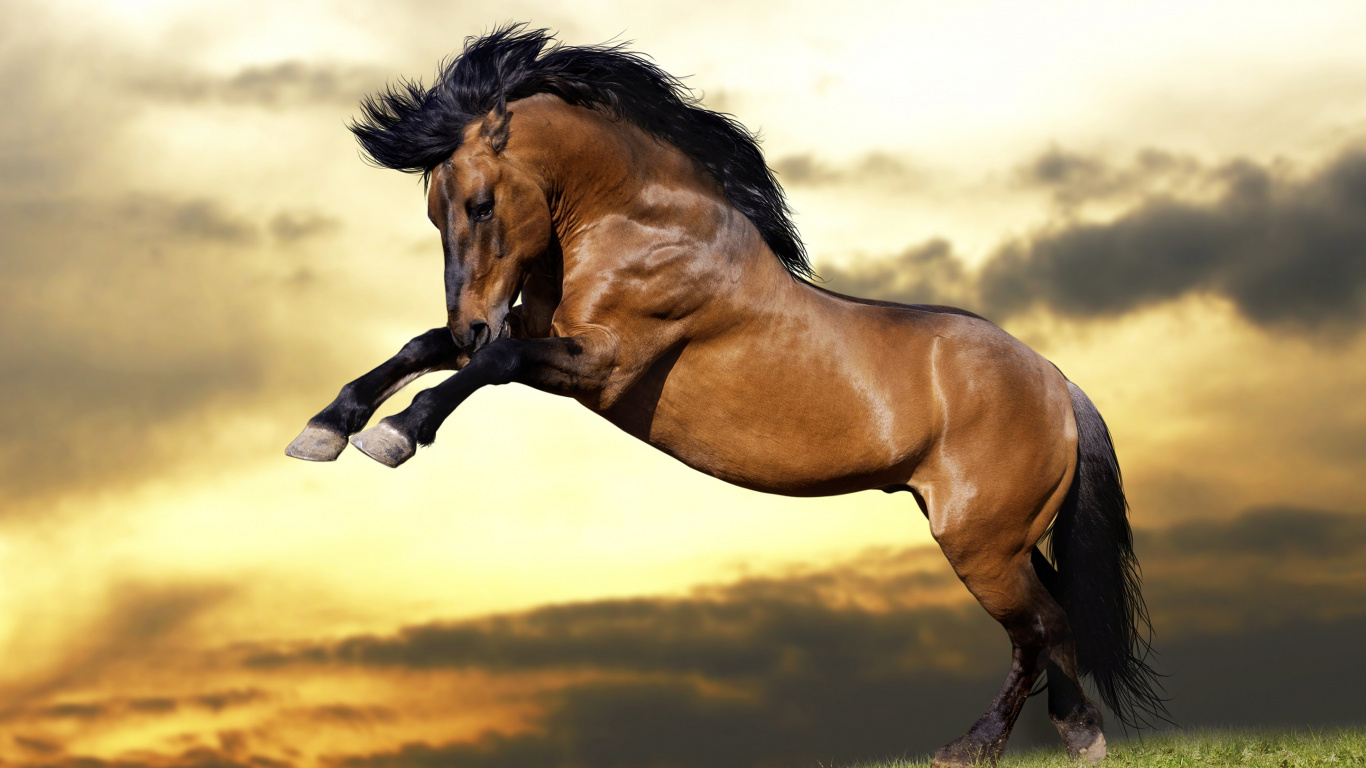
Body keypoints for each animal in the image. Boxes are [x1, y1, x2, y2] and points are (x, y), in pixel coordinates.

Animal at [285, 25, 1165, 766]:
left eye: (478, 204)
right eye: (435, 210)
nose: (467, 317)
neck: (637, 226)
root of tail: (1057, 381)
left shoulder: (598, 364)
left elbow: (487, 364)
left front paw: (396, 434)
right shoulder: (537, 334)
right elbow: (424, 350)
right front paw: (325, 429)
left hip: (979, 543)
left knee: (1039, 627)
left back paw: (988, 746)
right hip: (1004, 538)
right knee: (1054, 621)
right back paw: (1058, 739)